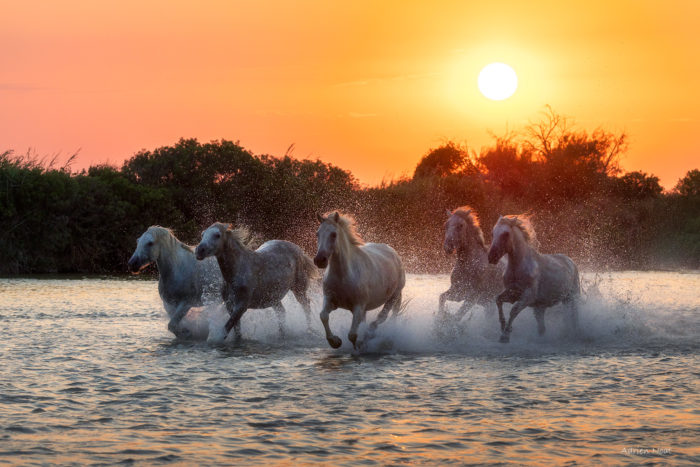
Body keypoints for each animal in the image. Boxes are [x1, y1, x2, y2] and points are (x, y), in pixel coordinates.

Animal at [314, 211, 405, 350]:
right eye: (317, 234)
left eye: (333, 234)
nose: (320, 260)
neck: (343, 276)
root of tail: (393, 252)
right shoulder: (330, 300)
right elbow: (323, 316)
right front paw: (335, 342)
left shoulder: (358, 306)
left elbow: (352, 335)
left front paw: (360, 345)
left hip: (394, 296)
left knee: (384, 317)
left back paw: (373, 335)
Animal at [487, 215, 580, 343]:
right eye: (493, 233)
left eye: (506, 233)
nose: (492, 257)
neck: (518, 268)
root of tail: (570, 261)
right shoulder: (512, 293)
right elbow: (498, 299)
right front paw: (502, 327)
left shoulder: (528, 296)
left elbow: (514, 310)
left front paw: (505, 336)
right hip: (541, 308)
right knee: (543, 328)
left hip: (572, 298)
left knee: (573, 318)